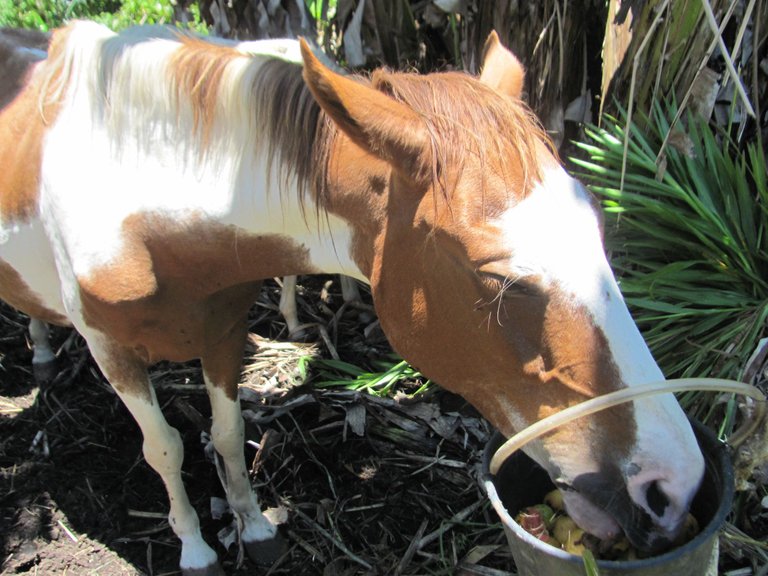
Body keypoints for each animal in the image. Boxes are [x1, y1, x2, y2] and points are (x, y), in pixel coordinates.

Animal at [1, 20, 708, 572]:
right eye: (497, 280)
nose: (672, 487)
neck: (136, 201)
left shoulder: (225, 328)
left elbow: (227, 434)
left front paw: (254, 527)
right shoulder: (111, 349)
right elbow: (166, 448)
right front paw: (197, 550)